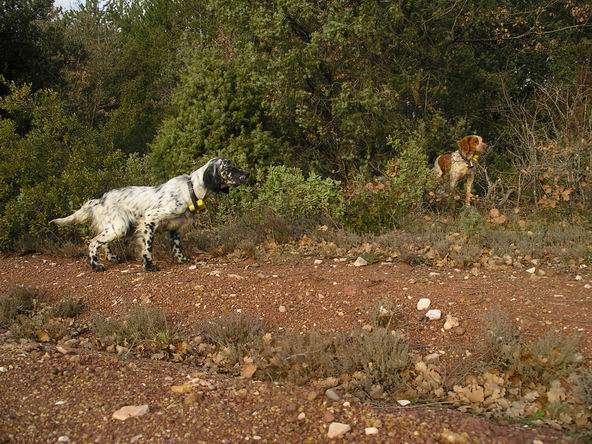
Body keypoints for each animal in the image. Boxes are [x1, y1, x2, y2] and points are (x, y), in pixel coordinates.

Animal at [50, 158, 250, 272]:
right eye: (229, 167)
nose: (247, 174)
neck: (191, 188)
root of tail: (99, 199)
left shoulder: (175, 228)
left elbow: (177, 247)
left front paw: (182, 260)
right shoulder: (150, 220)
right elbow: (147, 247)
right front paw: (149, 266)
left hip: (118, 227)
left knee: (103, 243)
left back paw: (112, 258)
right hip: (120, 226)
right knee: (93, 242)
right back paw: (96, 265)